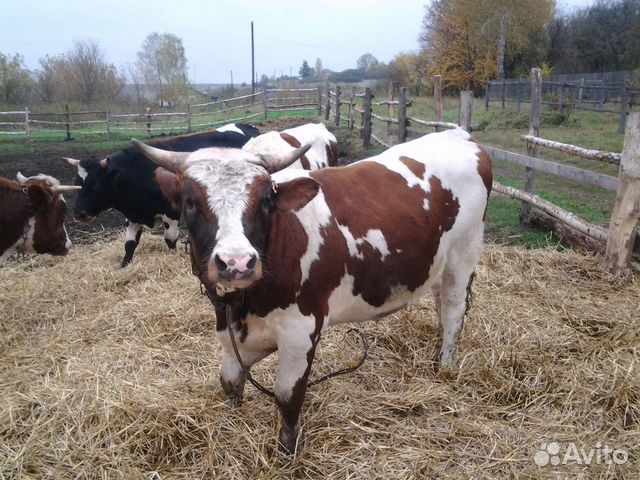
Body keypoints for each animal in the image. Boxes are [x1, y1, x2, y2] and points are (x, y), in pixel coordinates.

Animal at [62, 124, 258, 266]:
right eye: (77, 184)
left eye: (96, 185)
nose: (79, 214)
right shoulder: (132, 216)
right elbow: (129, 244)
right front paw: (124, 266)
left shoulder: (170, 213)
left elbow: (170, 240)